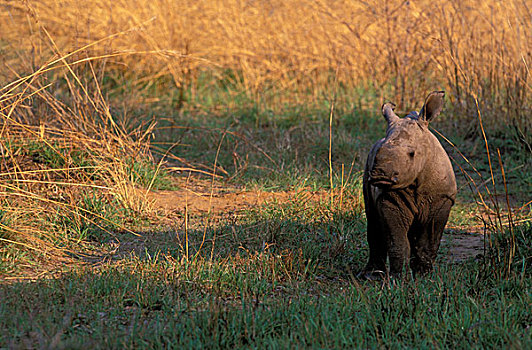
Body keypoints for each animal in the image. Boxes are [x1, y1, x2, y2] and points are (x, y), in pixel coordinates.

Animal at [362, 91, 458, 278]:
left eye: (412, 154)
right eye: (378, 151)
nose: (379, 176)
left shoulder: (442, 199)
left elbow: (428, 242)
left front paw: (424, 275)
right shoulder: (389, 198)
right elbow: (398, 242)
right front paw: (400, 278)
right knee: (373, 219)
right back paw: (372, 275)